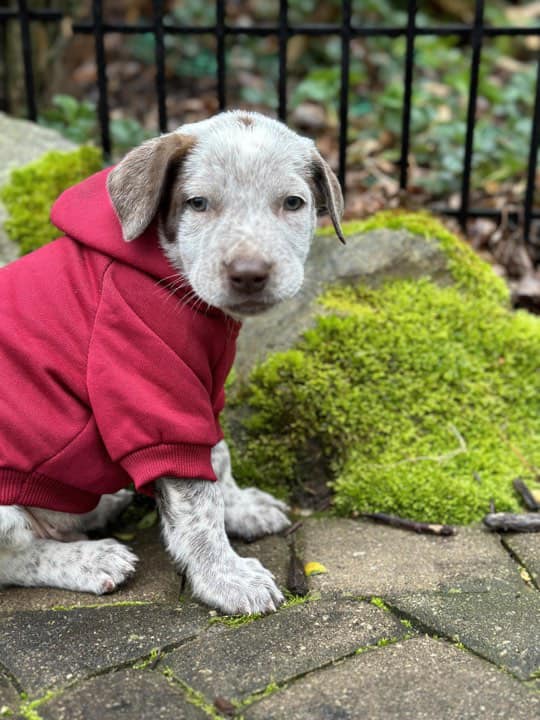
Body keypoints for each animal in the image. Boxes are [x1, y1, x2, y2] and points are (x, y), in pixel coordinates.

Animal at [0, 110, 344, 615]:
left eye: (293, 203)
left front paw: (241, 509)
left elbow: (217, 457)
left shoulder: (202, 386)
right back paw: (91, 560)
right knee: (12, 558)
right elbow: (198, 506)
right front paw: (226, 577)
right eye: (198, 203)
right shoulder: (151, 395)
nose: (249, 274)